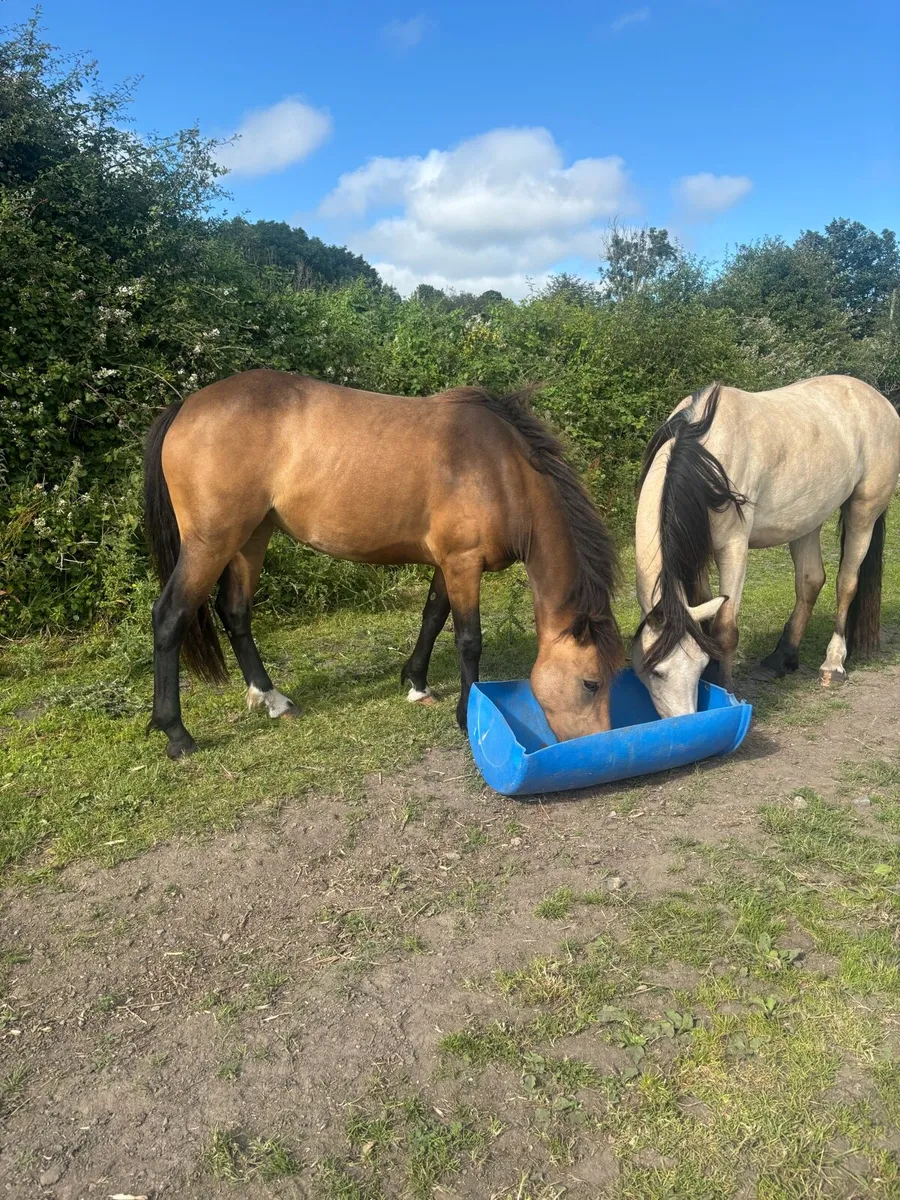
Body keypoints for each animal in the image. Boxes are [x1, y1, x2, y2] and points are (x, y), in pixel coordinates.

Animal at [143, 369, 623, 759]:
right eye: (591, 683)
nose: (598, 746)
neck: (501, 469)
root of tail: (187, 406)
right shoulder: (463, 562)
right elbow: (469, 639)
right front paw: (465, 713)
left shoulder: (446, 563)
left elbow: (432, 617)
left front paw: (416, 683)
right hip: (211, 542)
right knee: (170, 616)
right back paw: (177, 735)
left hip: (251, 537)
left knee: (235, 612)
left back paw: (273, 700)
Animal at [632, 375, 900, 718]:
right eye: (655, 671)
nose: (685, 721)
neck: (704, 460)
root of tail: (879, 401)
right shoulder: (698, 555)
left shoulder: (732, 548)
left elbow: (725, 628)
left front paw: (726, 689)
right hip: (807, 520)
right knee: (810, 582)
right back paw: (781, 659)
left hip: (863, 512)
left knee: (846, 583)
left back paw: (833, 665)